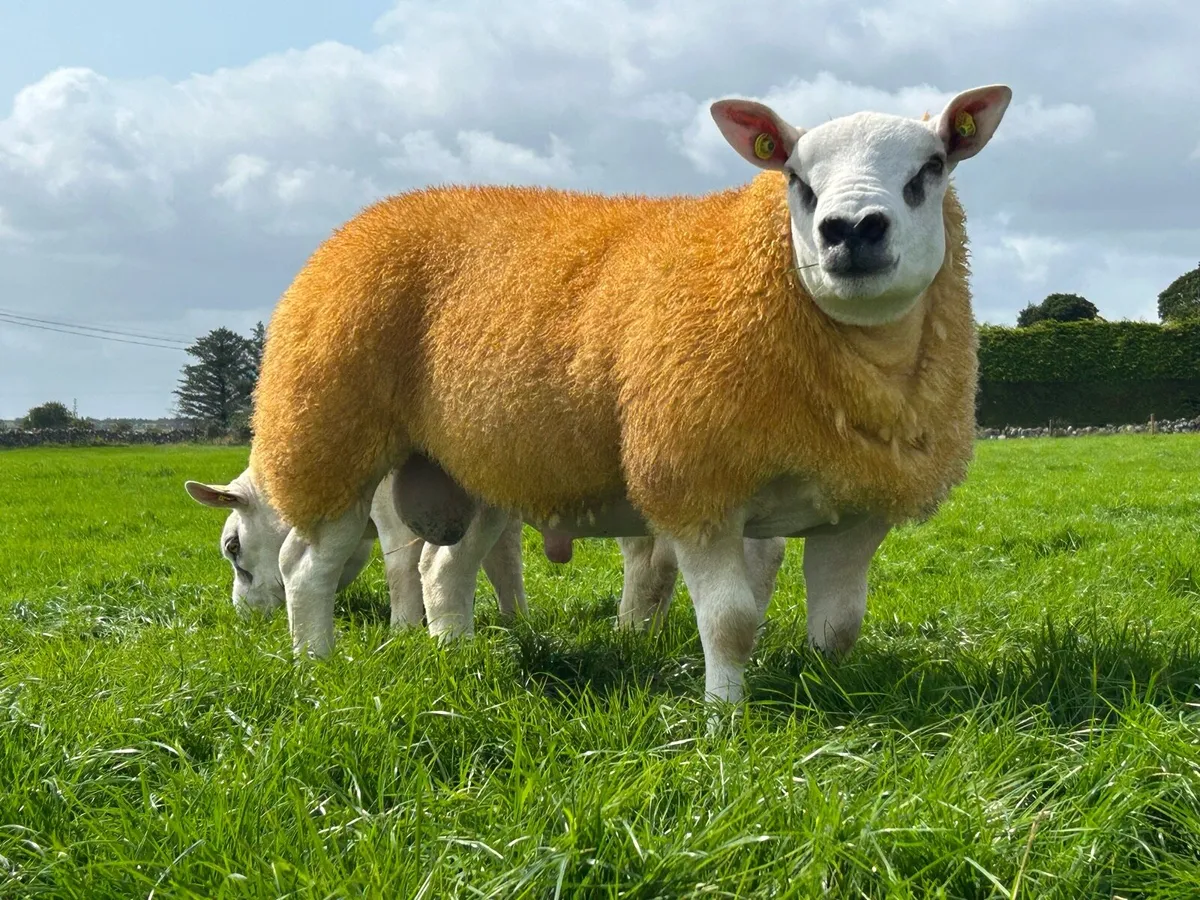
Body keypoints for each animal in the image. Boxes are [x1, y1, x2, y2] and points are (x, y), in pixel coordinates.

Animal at [246, 83, 1012, 713]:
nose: (850, 230)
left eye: (931, 168)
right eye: (795, 178)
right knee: (307, 567)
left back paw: (454, 660)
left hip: (482, 467)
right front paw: (723, 721)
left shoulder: (854, 509)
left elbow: (840, 627)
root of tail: (360, 223)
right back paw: (314, 667)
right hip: (328, 435)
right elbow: (730, 622)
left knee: (443, 571)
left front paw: (830, 700)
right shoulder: (693, 483)